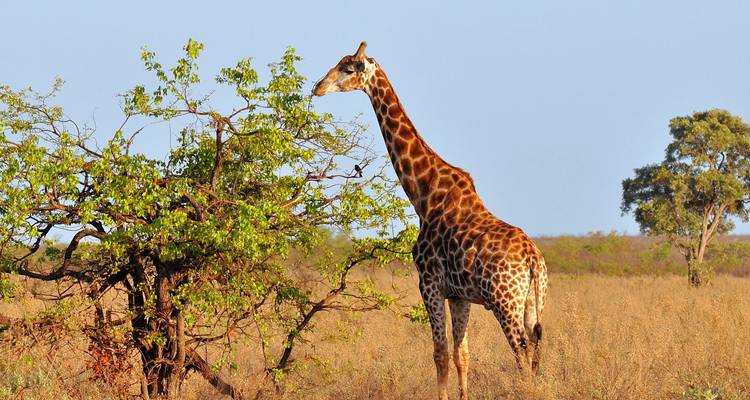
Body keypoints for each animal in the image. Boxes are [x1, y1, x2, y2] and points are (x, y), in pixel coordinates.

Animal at [313, 42, 549, 400]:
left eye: (348, 68)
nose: (317, 87)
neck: (424, 196)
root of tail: (533, 259)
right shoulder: (459, 295)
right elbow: (462, 354)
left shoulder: (429, 283)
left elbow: (439, 353)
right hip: (534, 302)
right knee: (534, 351)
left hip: (504, 301)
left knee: (521, 353)